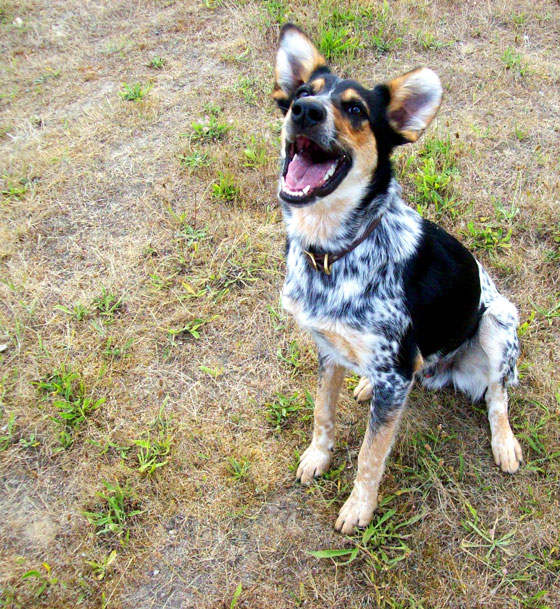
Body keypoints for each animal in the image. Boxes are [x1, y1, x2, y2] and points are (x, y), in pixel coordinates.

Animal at [274, 26, 524, 536]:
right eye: (303, 93)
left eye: (356, 110)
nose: (305, 112)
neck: (335, 252)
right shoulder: (328, 349)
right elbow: (322, 413)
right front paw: (317, 457)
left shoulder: (394, 369)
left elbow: (371, 455)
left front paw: (358, 507)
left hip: (499, 320)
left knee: (497, 395)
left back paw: (504, 441)